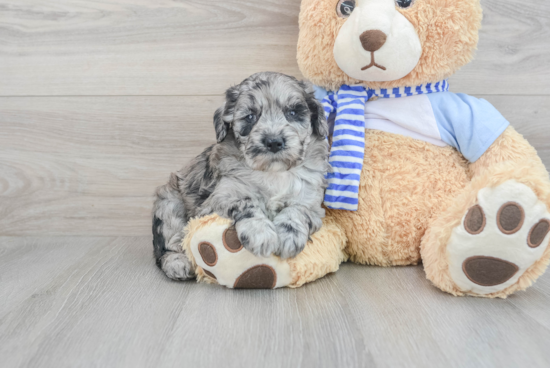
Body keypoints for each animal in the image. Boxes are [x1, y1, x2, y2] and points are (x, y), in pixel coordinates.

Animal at [153, 71, 330, 278]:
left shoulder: (310, 199)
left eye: (292, 113)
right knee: (168, 244)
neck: (272, 173)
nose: (274, 142)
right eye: (250, 117)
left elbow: (297, 210)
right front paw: (261, 234)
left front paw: (288, 235)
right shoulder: (220, 196)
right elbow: (246, 202)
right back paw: (178, 263)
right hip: (169, 205)